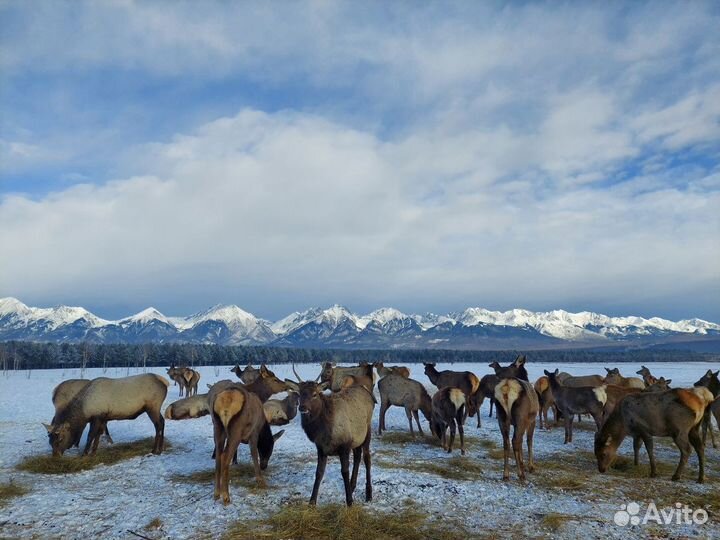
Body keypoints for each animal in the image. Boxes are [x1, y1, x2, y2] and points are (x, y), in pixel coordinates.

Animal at [284, 364, 374, 508]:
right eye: (300, 393)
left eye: (315, 394)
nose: (303, 408)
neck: (323, 430)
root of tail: (365, 390)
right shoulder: (321, 448)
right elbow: (319, 473)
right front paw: (312, 502)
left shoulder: (344, 445)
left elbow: (344, 471)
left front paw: (349, 502)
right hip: (356, 437)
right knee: (357, 456)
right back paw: (352, 486)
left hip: (367, 429)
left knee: (367, 458)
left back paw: (368, 494)